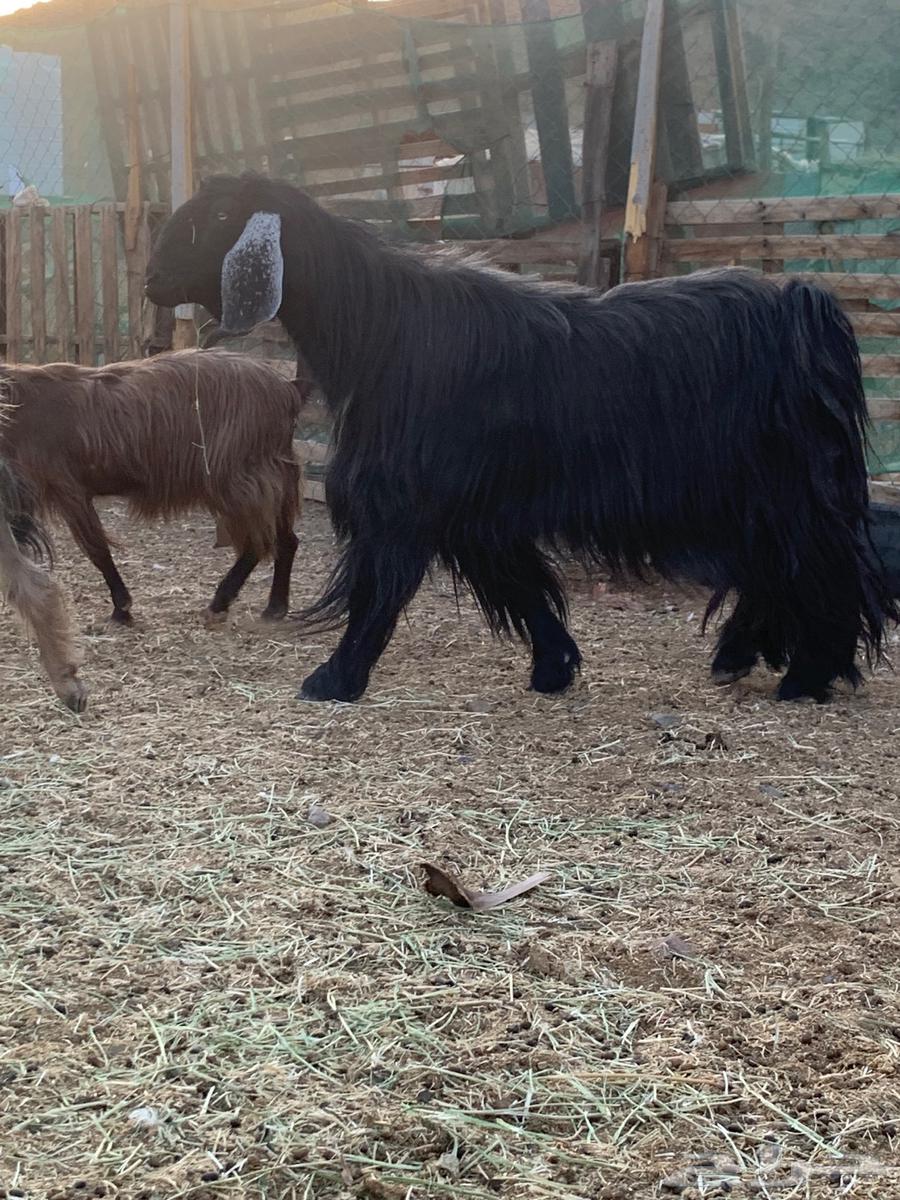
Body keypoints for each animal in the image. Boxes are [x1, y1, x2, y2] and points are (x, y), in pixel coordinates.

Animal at [1, 350, 301, 625]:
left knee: (259, 541)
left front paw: (122, 609)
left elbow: (97, 549)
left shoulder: (68, 488)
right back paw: (275, 607)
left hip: (239, 479)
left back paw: (220, 603)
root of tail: (287, 390)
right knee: (286, 540)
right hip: (273, 479)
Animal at [145, 173, 897, 704]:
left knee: (826, 567)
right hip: (762, 494)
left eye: (219, 217)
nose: (153, 281)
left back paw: (807, 676)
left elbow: (381, 586)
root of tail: (804, 302)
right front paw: (554, 666)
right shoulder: (478, 511)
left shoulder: (405, 498)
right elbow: (520, 584)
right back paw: (741, 657)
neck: (379, 329)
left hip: (783, 488)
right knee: (781, 570)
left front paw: (335, 678)